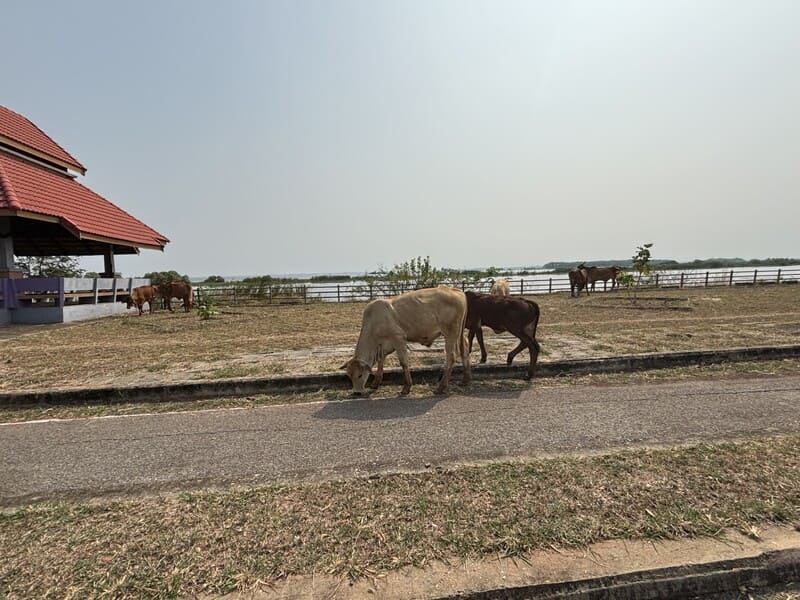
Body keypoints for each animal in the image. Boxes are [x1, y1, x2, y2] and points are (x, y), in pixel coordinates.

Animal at [340, 288, 472, 396]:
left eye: (360, 375)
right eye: (349, 376)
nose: (356, 392)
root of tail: (455, 290)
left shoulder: (398, 338)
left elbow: (403, 362)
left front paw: (406, 387)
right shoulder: (385, 345)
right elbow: (381, 361)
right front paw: (375, 383)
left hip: (450, 334)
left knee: (451, 357)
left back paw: (441, 387)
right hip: (459, 333)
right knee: (464, 350)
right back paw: (465, 380)